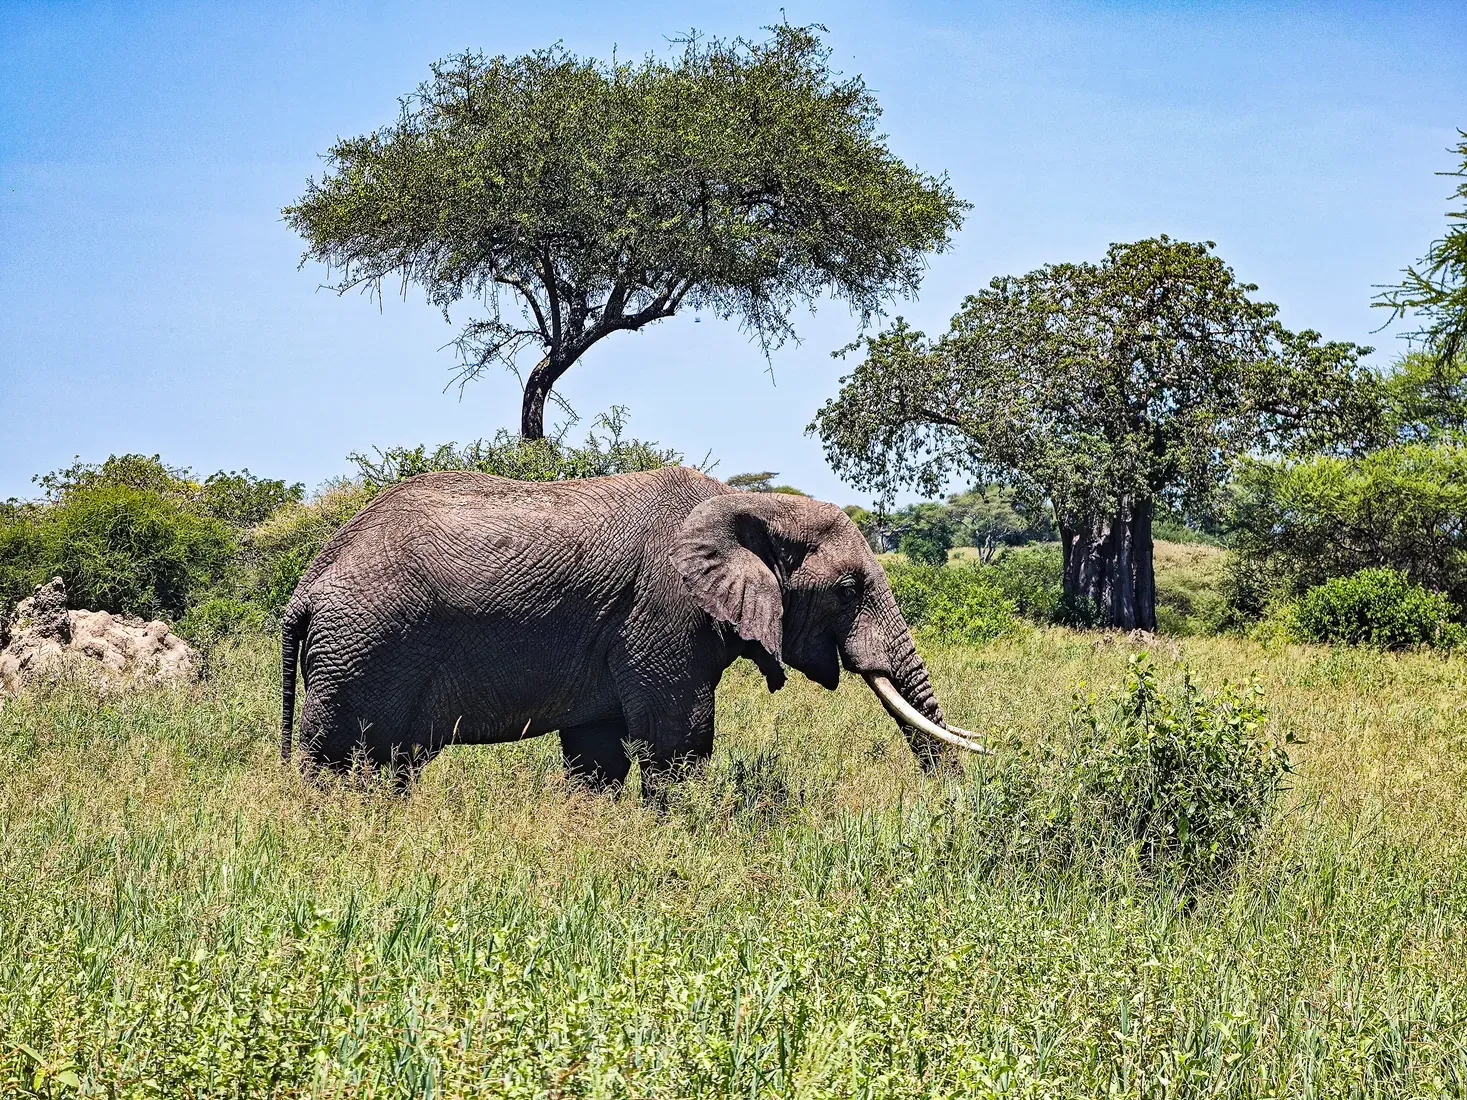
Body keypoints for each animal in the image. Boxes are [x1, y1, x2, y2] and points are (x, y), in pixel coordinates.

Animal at [280, 466, 986, 791]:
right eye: (847, 590)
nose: (946, 804)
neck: (746, 502)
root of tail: (307, 584)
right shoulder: (664, 610)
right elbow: (677, 742)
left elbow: (596, 756)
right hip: (362, 646)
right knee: (337, 757)